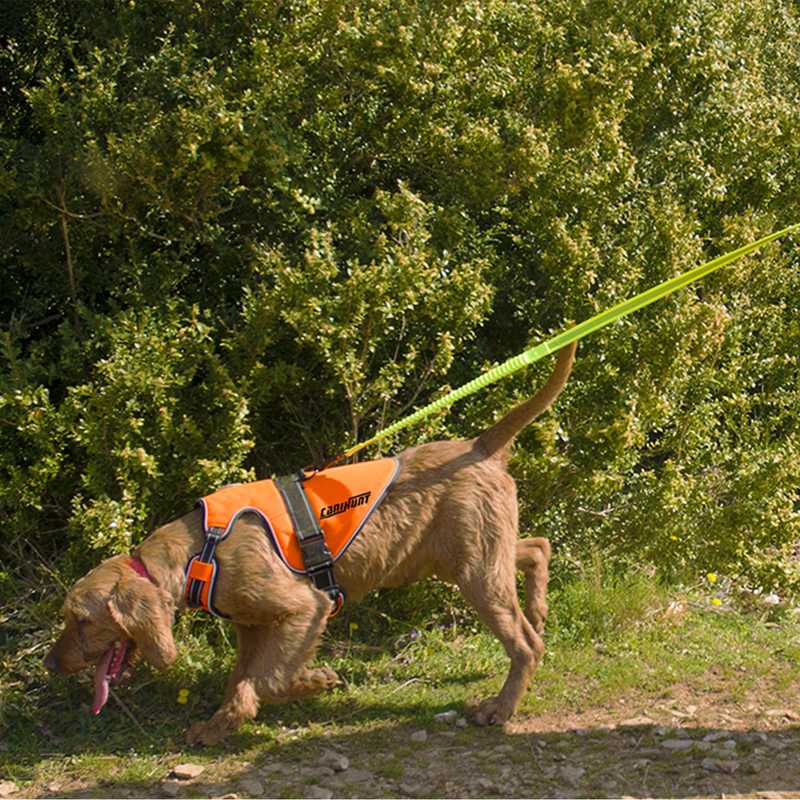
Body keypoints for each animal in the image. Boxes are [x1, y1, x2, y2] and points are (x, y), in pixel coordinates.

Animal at [43, 342, 576, 744]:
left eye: (82, 620)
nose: (51, 664)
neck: (199, 553)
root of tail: (479, 447)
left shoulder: (303, 607)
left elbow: (270, 678)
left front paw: (316, 681)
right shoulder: (253, 626)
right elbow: (241, 682)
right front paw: (216, 727)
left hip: (474, 570)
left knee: (526, 645)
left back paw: (499, 707)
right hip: (466, 555)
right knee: (537, 547)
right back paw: (539, 607)